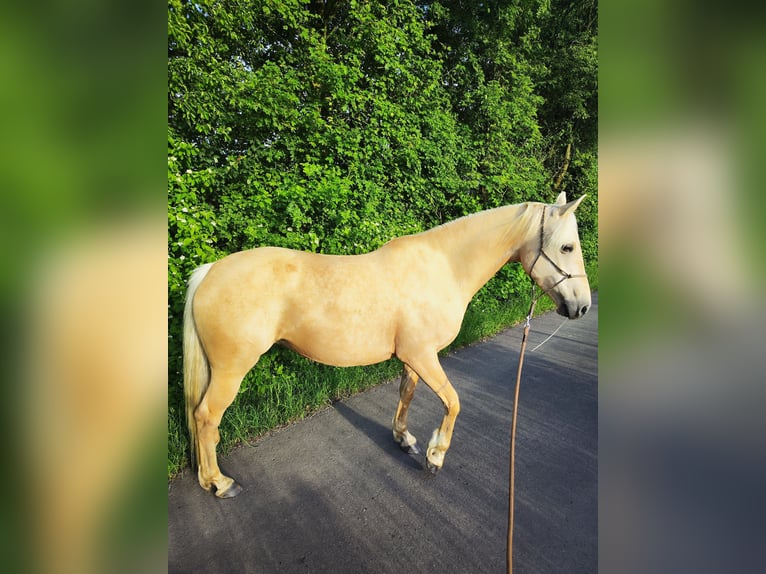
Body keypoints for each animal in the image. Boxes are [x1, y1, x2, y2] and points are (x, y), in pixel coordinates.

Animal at [184, 192, 591, 498]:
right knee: (206, 417)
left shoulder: (413, 357)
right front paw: (435, 456)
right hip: (231, 370)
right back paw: (220, 483)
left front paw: (403, 439)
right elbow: (453, 402)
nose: (582, 306)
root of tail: (210, 271)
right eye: (567, 247)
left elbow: (406, 393)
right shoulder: (424, 356)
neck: (443, 269)